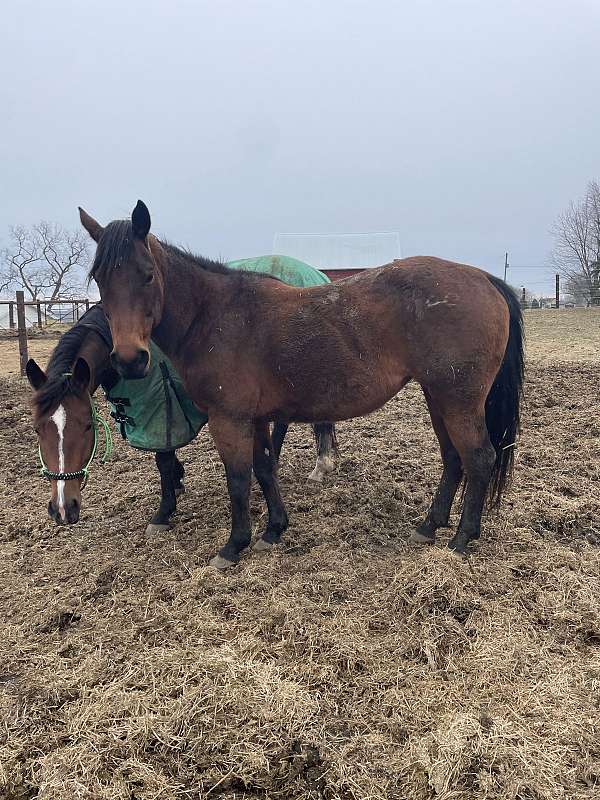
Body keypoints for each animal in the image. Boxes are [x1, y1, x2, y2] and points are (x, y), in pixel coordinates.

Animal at [27, 304, 338, 528]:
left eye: (87, 426)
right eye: (37, 430)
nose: (63, 508)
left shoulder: (161, 411)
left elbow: (163, 461)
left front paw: (164, 512)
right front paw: (177, 483)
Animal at [81, 200, 524, 568]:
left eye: (147, 275)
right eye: (99, 277)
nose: (129, 359)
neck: (214, 316)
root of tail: (483, 279)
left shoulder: (230, 419)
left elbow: (238, 480)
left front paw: (234, 546)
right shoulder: (256, 418)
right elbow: (264, 469)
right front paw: (274, 530)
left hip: (458, 400)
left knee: (478, 458)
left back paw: (462, 539)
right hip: (438, 397)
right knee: (453, 458)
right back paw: (429, 526)